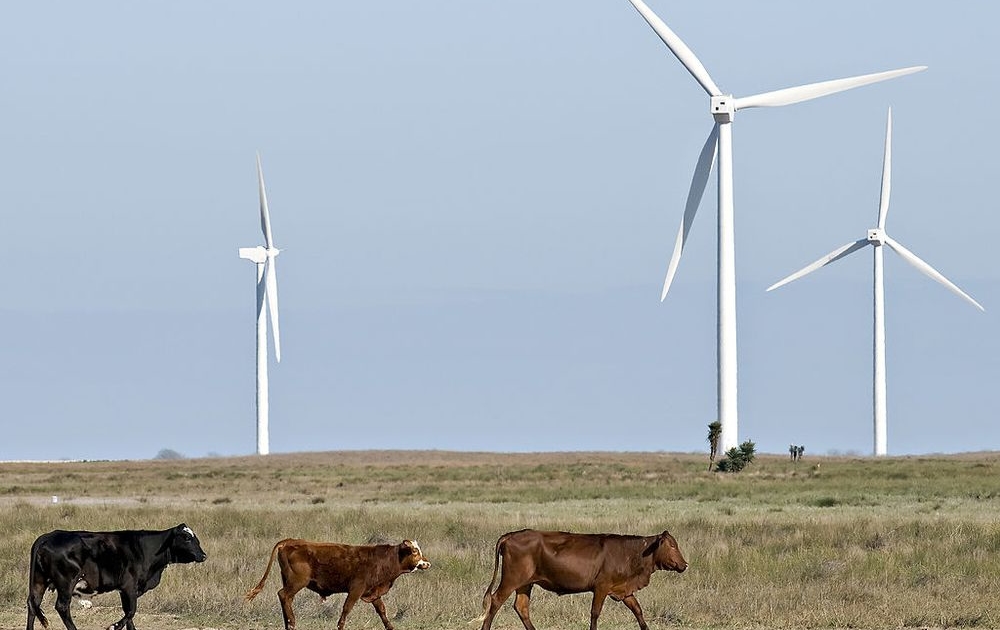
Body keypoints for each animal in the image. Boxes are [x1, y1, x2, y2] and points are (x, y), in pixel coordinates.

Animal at [26, 524, 205, 630]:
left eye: (195, 537)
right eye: (187, 538)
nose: (203, 555)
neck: (144, 549)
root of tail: (49, 535)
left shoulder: (125, 590)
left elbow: (129, 612)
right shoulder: (129, 586)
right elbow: (131, 611)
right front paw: (114, 626)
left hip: (39, 581)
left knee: (33, 604)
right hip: (66, 582)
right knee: (62, 607)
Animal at [245, 540, 430, 630]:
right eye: (415, 551)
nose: (427, 563)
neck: (383, 559)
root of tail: (288, 542)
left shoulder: (372, 592)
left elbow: (382, 611)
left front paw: (390, 626)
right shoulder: (356, 589)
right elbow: (346, 609)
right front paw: (340, 626)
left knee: (286, 599)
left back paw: (288, 623)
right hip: (297, 582)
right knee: (283, 595)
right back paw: (291, 623)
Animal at [478, 528, 684, 630]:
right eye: (673, 546)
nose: (685, 564)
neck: (628, 553)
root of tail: (511, 535)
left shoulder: (623, 590)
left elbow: (638, 610)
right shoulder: (601, 587)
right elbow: (595, 613)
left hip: (525, 583)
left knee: (521, 607)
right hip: (511, 579)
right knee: (495, 600)